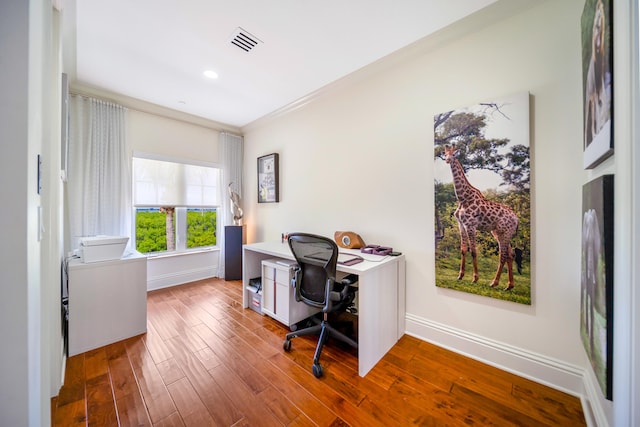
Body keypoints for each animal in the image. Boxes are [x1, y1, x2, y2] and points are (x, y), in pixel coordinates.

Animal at [444, 146, 520, 290]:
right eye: (445, 154)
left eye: (454, 154)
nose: (447, 160)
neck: (463, 198)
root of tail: (517, 219)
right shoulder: (461, 224)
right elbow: (463, 250)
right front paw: (460, 276)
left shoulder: (471, 225)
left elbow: (473, 251)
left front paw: (475, 278)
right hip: (498, 232)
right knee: (510, 254)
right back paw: (509, 285)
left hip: (505, 232)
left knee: (503, 255)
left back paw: (494, 283)